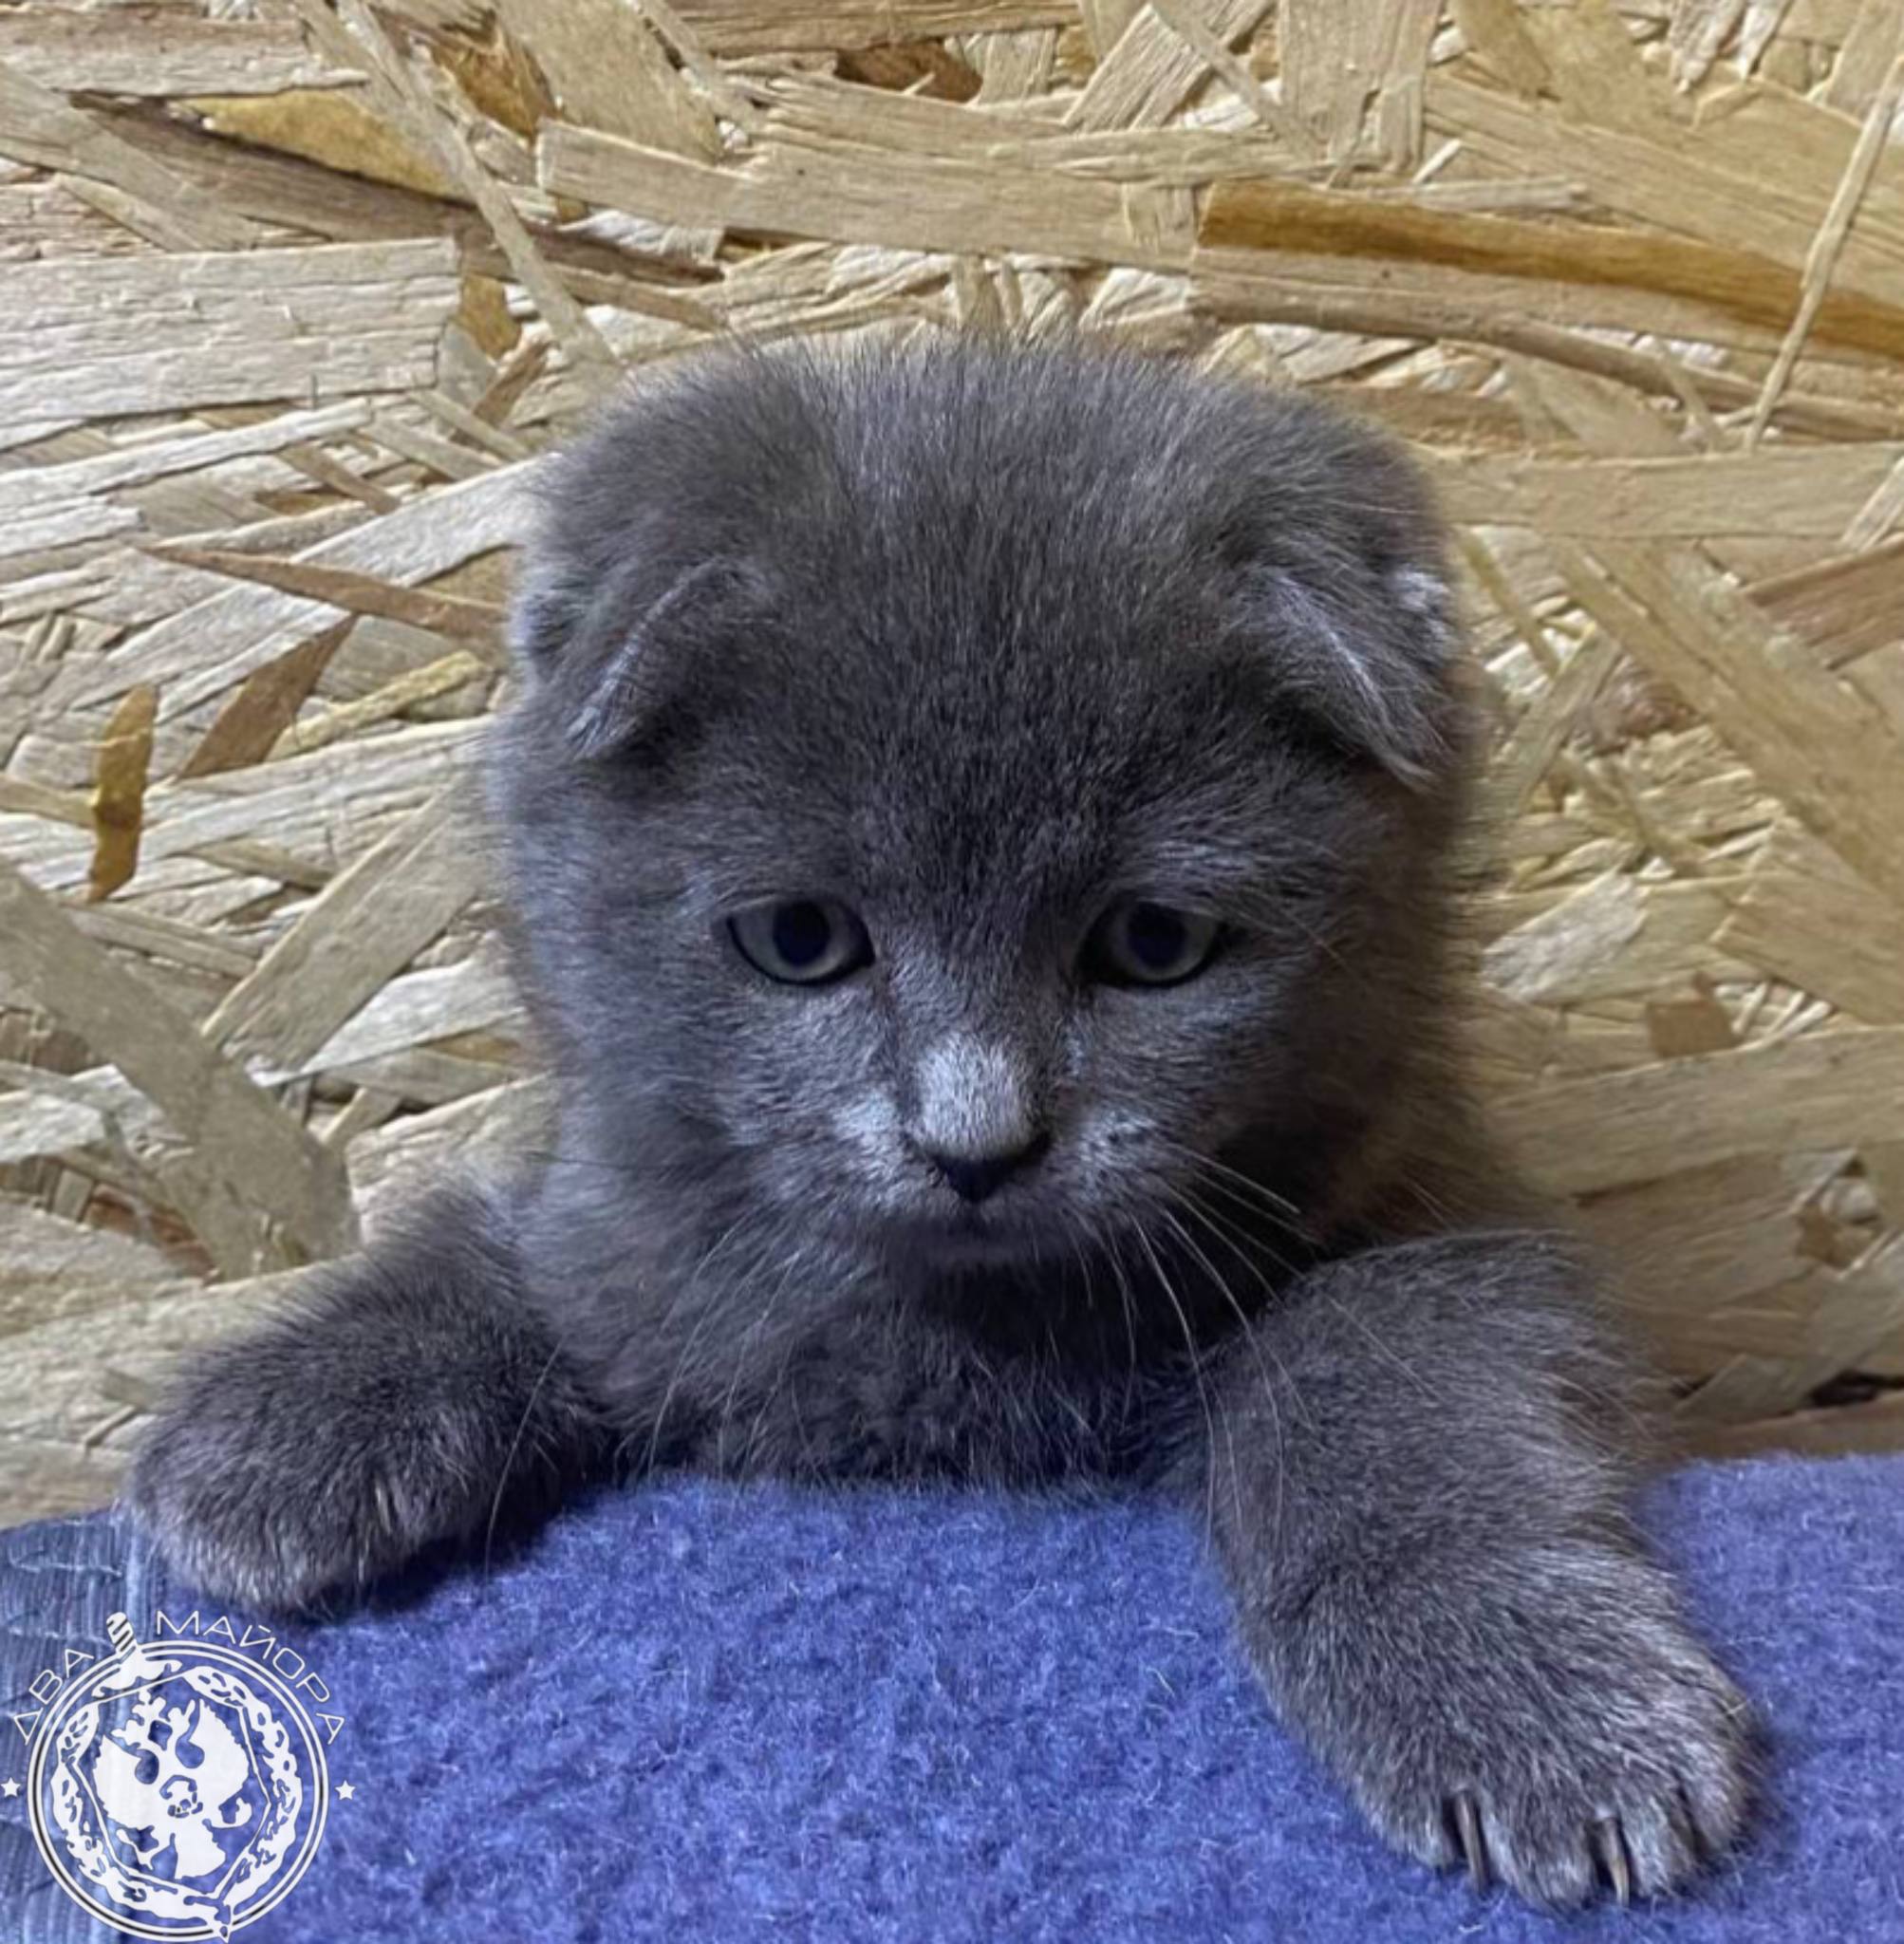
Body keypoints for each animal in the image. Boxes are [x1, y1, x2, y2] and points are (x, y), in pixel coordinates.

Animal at [130, 336, 1754, 1909]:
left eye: (1153, 944)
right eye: (798, 939)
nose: (976, 1140)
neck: (954, 1342)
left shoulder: (1447, 1214)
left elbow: (1387, 1382)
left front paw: (1531, 1700)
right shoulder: (630, 1228)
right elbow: (507, 1257)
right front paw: (284, 1428)